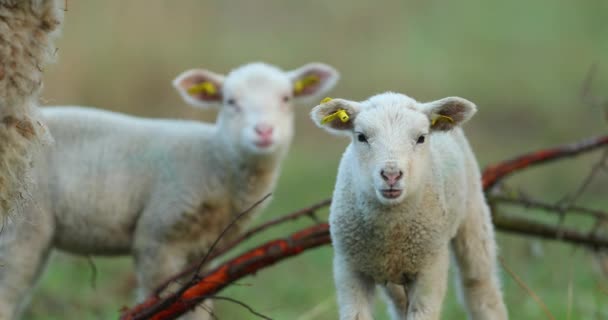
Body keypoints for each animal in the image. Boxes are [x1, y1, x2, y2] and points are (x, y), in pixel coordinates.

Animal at [0, 61, 340, 318]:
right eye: (230, 101)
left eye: (286, 99)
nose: (264, 131)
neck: (215, 161)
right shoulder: (159, 236)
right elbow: (160, 299)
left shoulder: (205, 250)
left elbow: (197, 304)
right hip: (23, 224)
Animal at [312, 92, 506, 320]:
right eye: (361, 137)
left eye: (421, 138)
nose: (391, 175)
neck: (391, 230)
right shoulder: (349, 268)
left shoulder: (430, 270)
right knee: (399, 303)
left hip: (473, 210)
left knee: (480, 287)